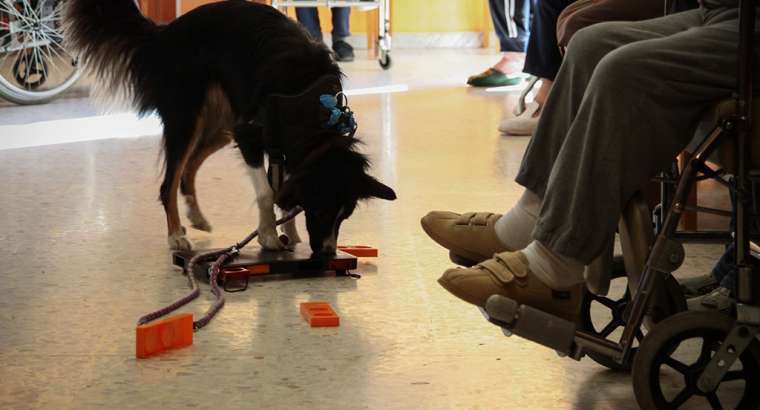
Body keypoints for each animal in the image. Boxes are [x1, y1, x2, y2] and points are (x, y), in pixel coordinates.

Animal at [65, 0, 396, 255]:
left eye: (345, 215)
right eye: (323, 210)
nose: (327, 253)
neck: (310, 100)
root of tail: (164, 33)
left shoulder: (278, 144)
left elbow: (283, 189)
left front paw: (288, 230)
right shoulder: (250, 136)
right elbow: (266, 193)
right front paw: (269, 235)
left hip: (222, 126)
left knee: (189, 168)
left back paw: (196, 216)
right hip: (189, 119)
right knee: (168, 182)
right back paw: (176, 236)